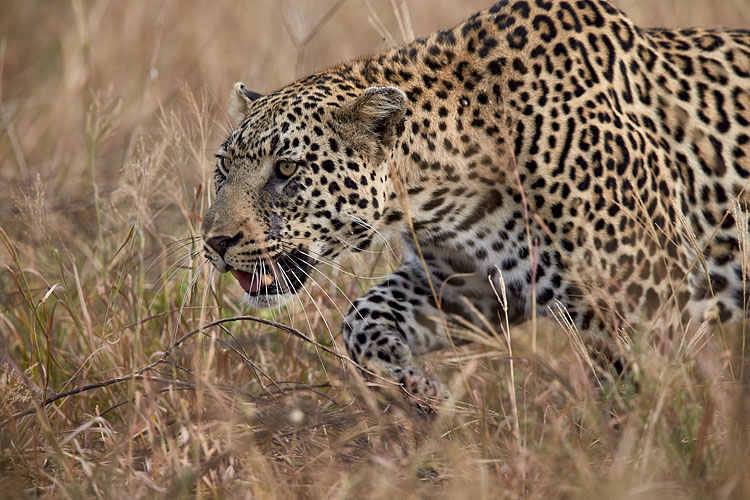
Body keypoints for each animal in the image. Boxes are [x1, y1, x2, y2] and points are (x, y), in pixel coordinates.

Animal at [201, 0, 750, 399]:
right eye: (223, 167)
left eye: (286, 169)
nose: (214, 243)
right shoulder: (467, 285)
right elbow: (361, 318)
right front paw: (418, 391)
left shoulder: (646, 300)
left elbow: (643, 396)